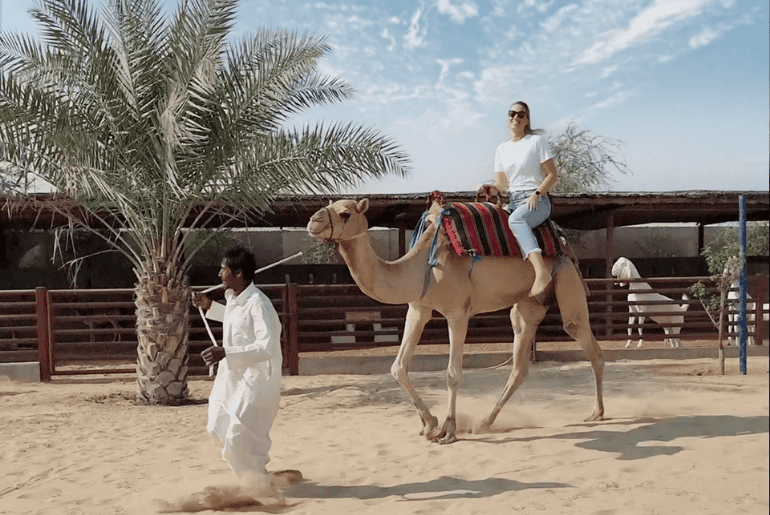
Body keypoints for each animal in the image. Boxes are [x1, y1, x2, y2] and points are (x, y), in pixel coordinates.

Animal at [306, 198, 605, 444]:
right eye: (328, 206)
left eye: (345, 213)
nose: (313, 221)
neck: (421, 265)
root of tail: (563, 242)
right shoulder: (418, 308)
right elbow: (397, 367)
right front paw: (428, 424)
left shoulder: (458, 313)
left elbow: (452, 373)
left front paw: (447, 430)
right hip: (529, 303)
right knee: (520, 362)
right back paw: (484, 423)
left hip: (566, 277)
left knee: (586, 341)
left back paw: (597, 412)